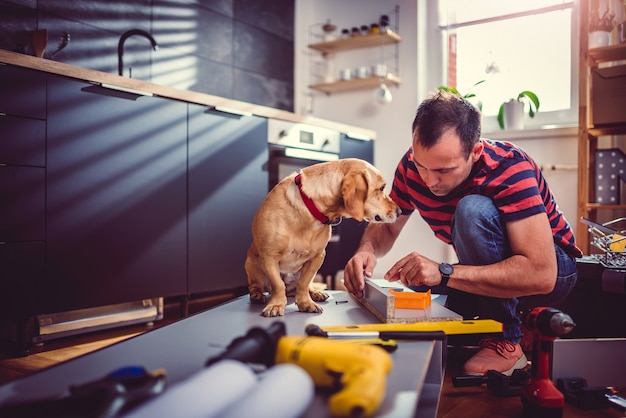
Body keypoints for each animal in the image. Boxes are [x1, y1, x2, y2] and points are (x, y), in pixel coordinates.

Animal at [243, 157, 394, 316]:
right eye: (382, 188)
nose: (400, 210)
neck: (310, 210)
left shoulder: (317, 257)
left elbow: (303, 283)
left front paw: (305, 303)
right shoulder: (269, 256)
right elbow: (278, 285)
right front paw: (276, 304)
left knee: (301, 287)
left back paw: (315, 293)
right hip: (252, 265)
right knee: (257, 286)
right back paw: (257, 295)